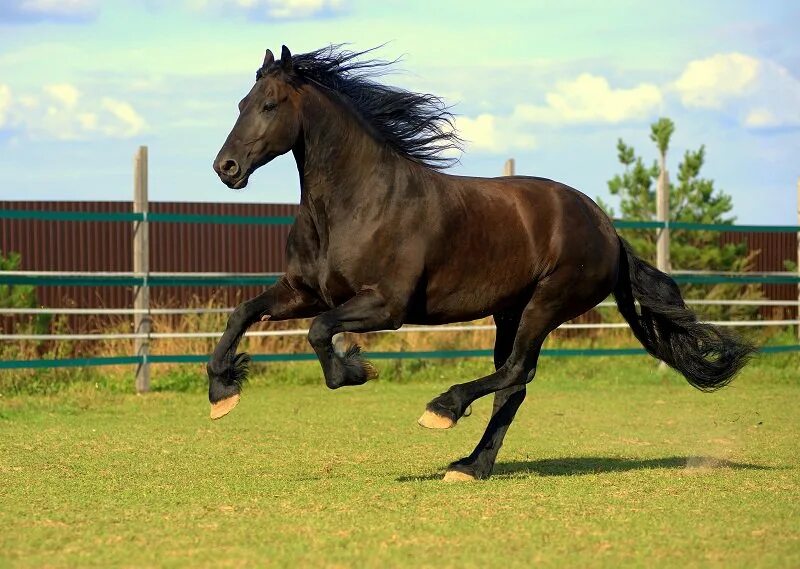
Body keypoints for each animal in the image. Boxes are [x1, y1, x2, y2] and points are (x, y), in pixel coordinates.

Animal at [208, 45, 756, 480]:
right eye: (240, 104)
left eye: (270, 104)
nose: (225, 168)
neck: (357, 201)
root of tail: (607, 229)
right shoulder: (305, 291)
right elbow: (243, 313)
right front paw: (221, 391)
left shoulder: (385, 306)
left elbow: (320, 331)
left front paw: (355, 370)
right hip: (509, 312)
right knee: (513, 387)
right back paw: (471, 466)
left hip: (545, 305)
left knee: (516, 371)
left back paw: (443, 411)